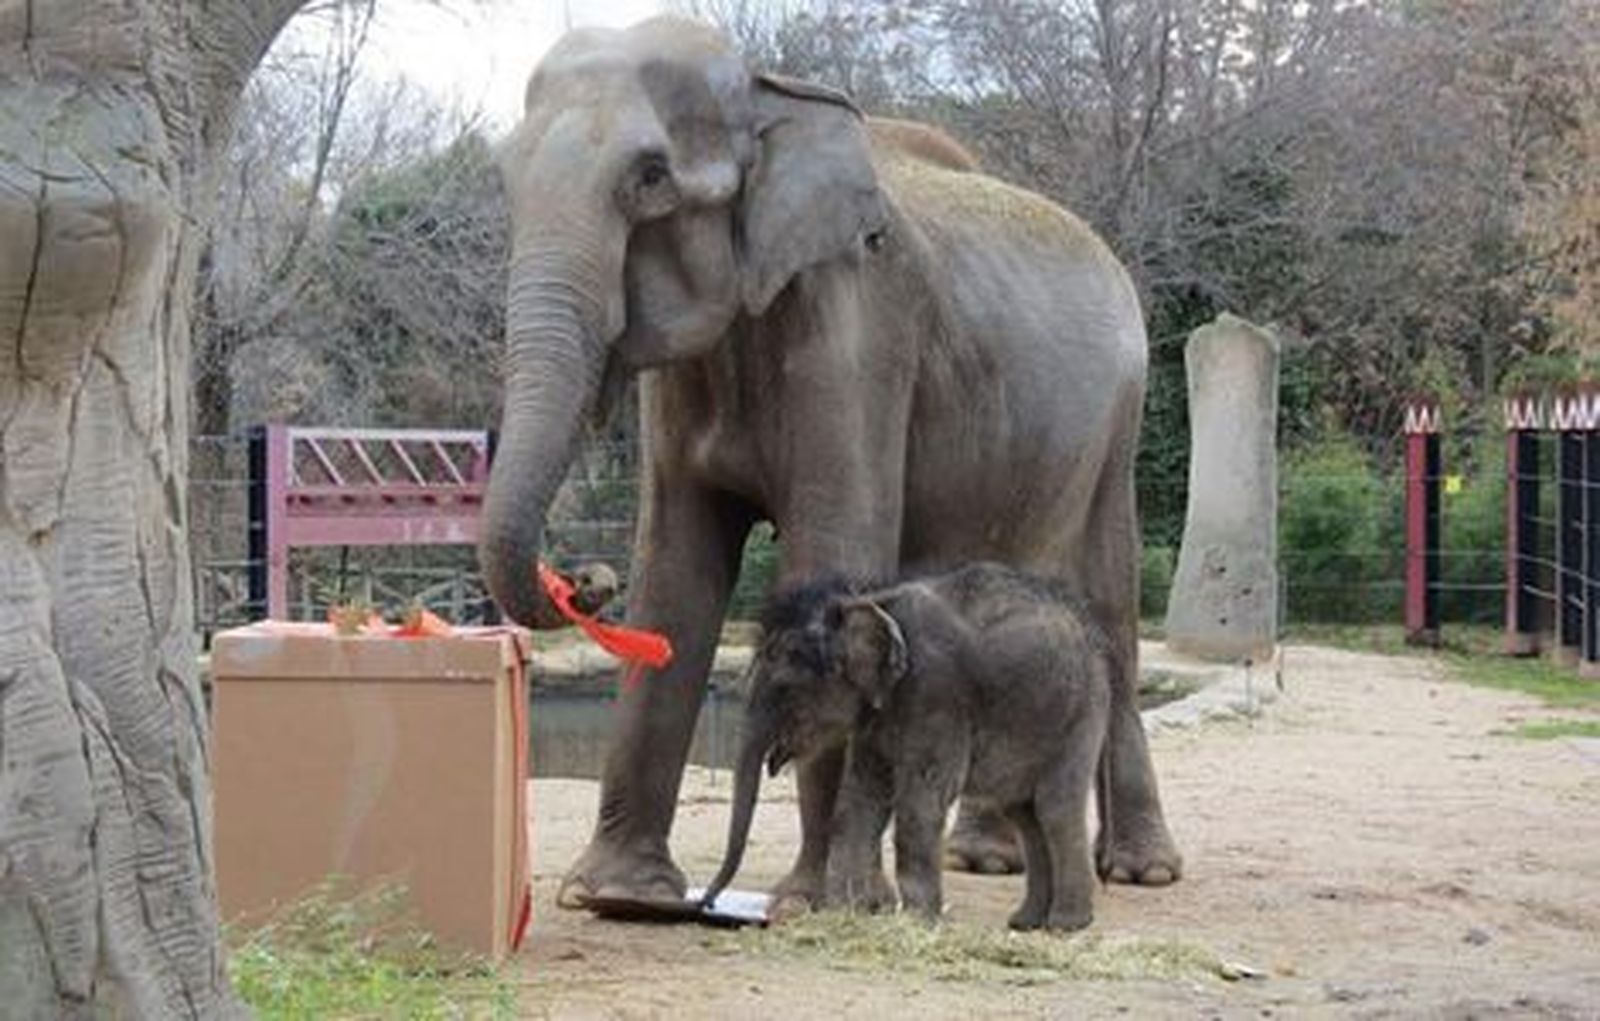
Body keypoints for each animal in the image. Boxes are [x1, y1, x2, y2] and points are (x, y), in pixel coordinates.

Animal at [702, 564, 1113, 931]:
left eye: (785, 688)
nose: (707, 902)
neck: (864, 601)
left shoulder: (937, 695)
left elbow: (921, 799)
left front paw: (917, 921)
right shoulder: (876, 713)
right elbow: (860, 798)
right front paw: (842, 914)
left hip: (1079, 717)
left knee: (1055, 807)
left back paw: (1065, 925)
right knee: (1024, 813)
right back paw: (1026, 923)